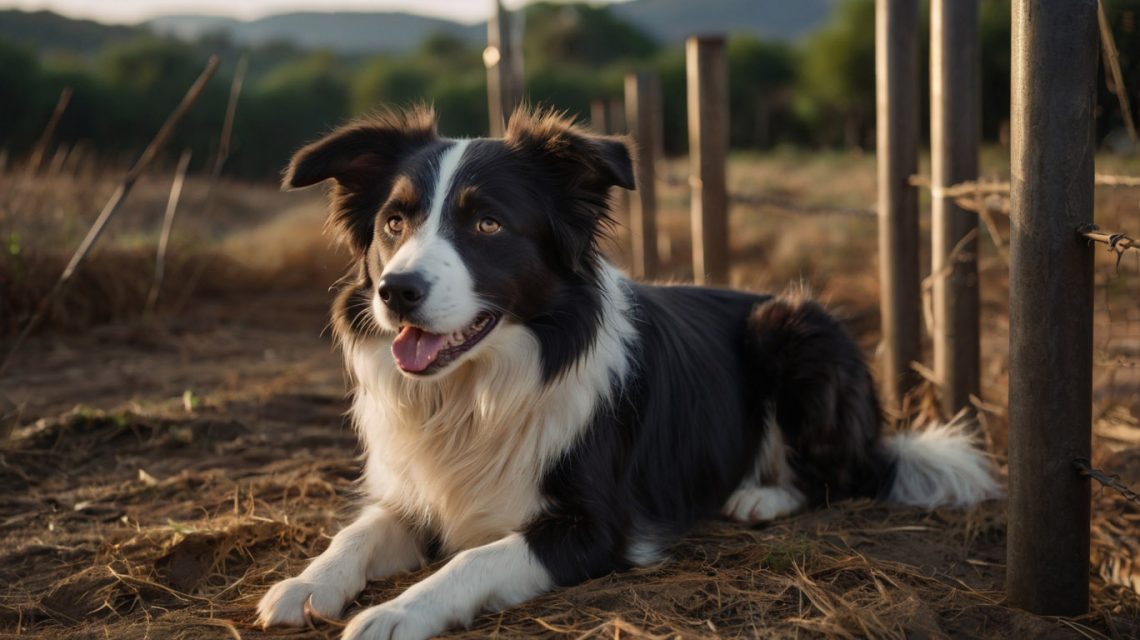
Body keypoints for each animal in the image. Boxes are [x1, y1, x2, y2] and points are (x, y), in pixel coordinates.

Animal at [258, 107, 998, 634]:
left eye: (488, 225)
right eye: (394, 223)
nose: (397, 292)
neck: (478, 391)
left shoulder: (598, 528)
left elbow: (475, 557)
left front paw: (396, 612)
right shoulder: (419, 493)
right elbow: (358, 531)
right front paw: (304, 584)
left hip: (795, 331)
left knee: (842, 477)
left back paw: (761, 496)